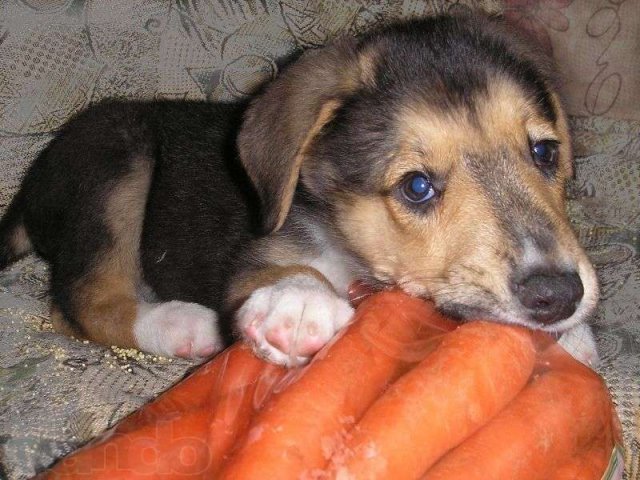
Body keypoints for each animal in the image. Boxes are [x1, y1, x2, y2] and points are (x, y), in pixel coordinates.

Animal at [0, 14, 600, 368]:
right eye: (417, 187)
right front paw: (298, 299)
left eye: (544, 153)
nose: (558, 296)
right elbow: (285, 272)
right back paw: (181, 324)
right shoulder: (263, 249)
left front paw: (572, 339)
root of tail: (29, 186)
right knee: (81, 301)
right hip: (117, 164)